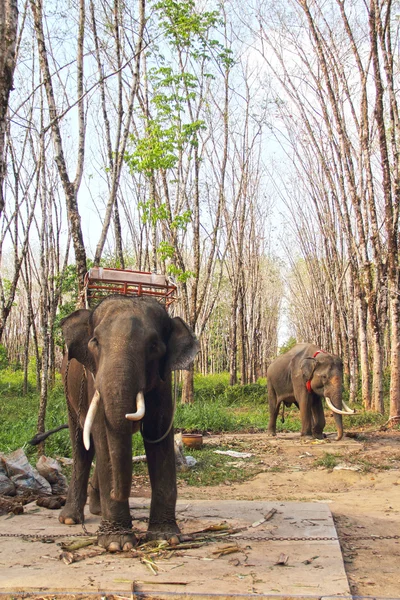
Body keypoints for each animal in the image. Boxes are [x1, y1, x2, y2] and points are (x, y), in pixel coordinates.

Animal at [59, 292, 198, 552]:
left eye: (154, 346)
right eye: (95, 342)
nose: (118, 494)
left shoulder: (162, 382)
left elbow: (158, 435)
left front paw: (166, 538)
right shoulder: (94, 380)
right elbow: (103, 435)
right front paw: (116, 543)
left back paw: (97, 510)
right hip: (68, 394)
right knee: (82, 444)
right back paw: (70, 519)